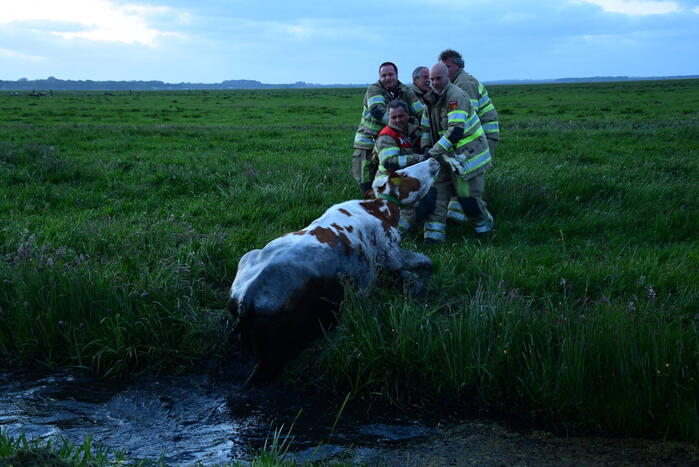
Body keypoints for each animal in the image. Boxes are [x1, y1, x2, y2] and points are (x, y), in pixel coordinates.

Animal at [227, 158, 440, 381]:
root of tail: (245, 297)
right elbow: (425, 262)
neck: (378, 209)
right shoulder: (391, 253)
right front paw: (418, 289)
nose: (433, 159)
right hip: (275, 354)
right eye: (403, 173)